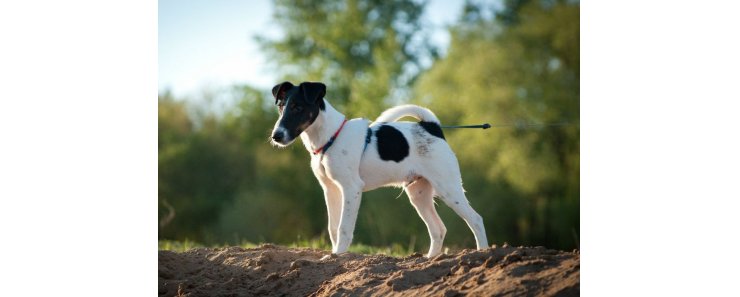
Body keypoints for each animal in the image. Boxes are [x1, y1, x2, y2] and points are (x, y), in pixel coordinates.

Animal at [268, 81, 488, 256]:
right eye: (281, 107)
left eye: (297, 107)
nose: (276, 136)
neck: (331, 137)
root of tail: (432, 127)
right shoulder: (330, 190)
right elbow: (333, 228)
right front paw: (334, 255)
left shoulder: (351, 189)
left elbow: (344, 228)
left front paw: (338, 255)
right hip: (418, 194)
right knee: (438, 229)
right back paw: (431, 259)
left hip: (448, 189)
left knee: (476, 220)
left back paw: (483, 253)